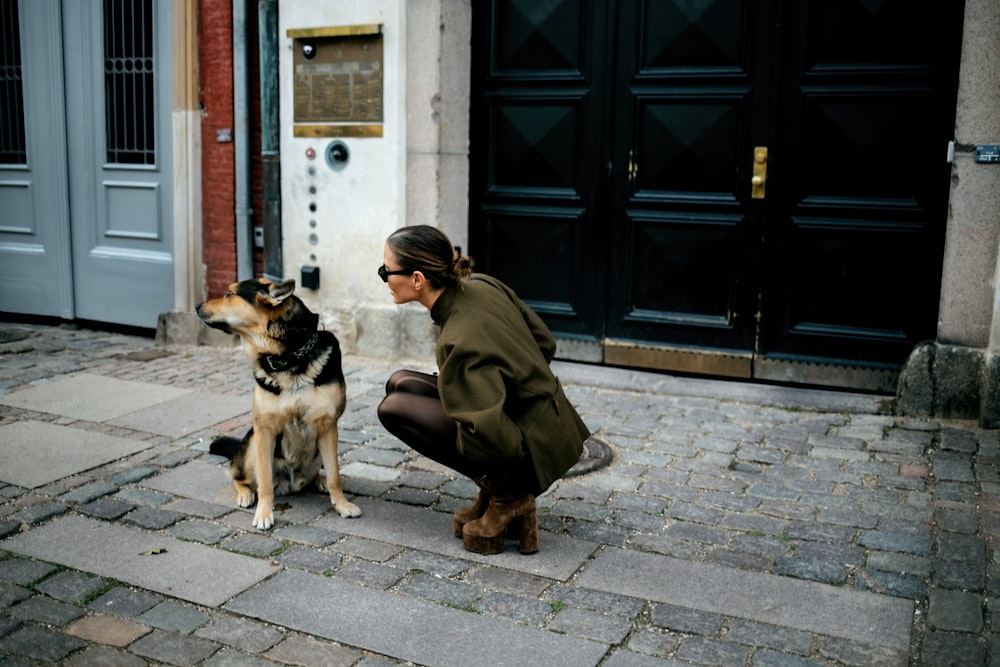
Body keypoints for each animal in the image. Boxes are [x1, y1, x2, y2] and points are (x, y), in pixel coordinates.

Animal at [195, 276, 360, 528]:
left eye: (229, 294)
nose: (196, 306)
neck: (288, 357)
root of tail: (291, 483)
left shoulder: (328, 427)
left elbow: (335, 476)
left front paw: (341, 504)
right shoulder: (265, 430)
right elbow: (264, 483)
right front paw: (264, 514)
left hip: (317, 454)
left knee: (317, 475)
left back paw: (319, 481)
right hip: (252, 447)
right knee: (238, 476)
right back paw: (245, 495)